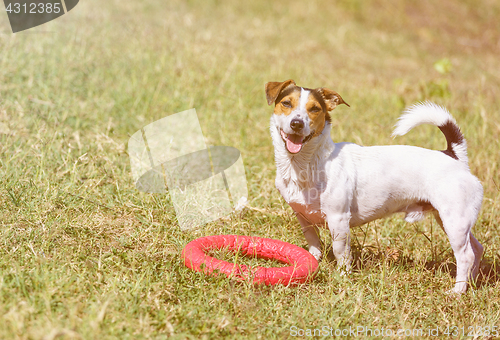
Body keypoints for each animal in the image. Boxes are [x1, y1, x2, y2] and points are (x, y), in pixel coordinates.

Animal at [266, 79, 484, 292]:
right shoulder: (303, 218)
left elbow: (341, 252)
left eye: (314, 109)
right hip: (452, 220)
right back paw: (471, 283)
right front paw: (314, 263)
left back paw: (458, 290)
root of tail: (455, 156)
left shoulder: (338, 219)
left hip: (454, 221)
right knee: (477, 248)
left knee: (466, 255)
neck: (305, 164)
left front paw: (343, 278)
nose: (296, 123)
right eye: (286, 103)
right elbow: (313, 245)